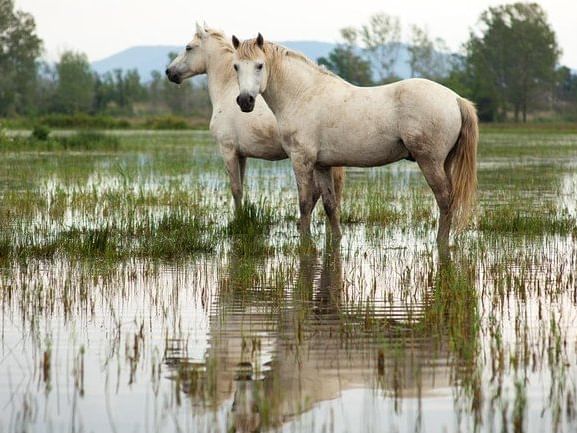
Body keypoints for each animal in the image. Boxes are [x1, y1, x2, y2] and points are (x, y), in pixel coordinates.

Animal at [164, 23, 344, 214]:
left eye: (188, 47)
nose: (169, 72)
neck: (227, 88)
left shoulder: (228, 150)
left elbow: (235, 189)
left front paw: (238, 218)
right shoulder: (241, 155)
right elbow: (241, 188)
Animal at [230, 34, 476, 246]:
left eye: (259, 65)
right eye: (236, 66)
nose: (245, 101)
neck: (303, 94)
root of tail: (455, 99)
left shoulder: (301, 160)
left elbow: (305, 203)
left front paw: (305, 243)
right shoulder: (322, 165)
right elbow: (330, 204)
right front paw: (336, 239)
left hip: (430, 162)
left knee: (444, 198)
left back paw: (440, 242)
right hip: (444, 162)